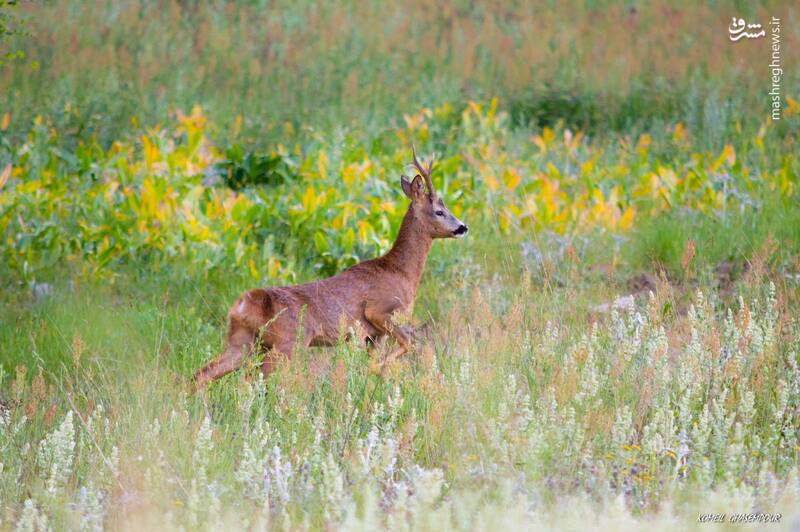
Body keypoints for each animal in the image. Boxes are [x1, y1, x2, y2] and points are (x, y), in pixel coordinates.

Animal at [192, 148, 468, 388]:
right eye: (439, 211)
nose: (463, 227)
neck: (401, 271)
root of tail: (243, 304)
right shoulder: (379, 311)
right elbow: (409, 343)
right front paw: (378, 371)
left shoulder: (372, 335)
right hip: (287, 343)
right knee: (254, 379)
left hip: (242, 342)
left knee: (201, 374)